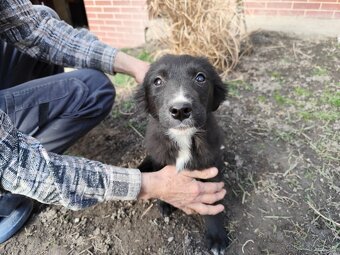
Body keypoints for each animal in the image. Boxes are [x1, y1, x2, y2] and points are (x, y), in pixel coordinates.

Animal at [135, 54, 228, 255]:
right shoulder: (160, 155)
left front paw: (217, 236)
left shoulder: (211, 164)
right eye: (157, 81)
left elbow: (213, 205)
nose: (180, 110)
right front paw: (165, 203)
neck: (183, 136)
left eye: (200, 78)